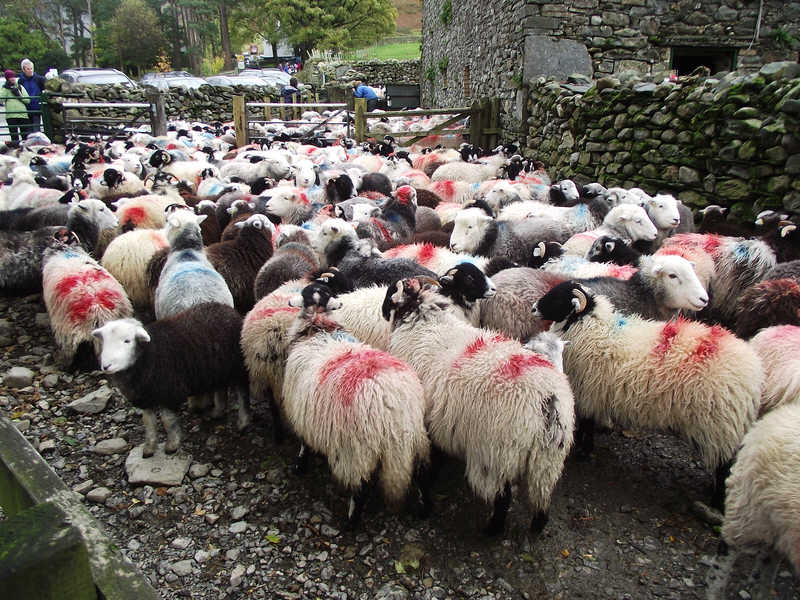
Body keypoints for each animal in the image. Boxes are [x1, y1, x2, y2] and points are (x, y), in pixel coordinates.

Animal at [92, 302, 249, 457]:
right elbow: (148, 422)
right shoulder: (144, 397)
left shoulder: (169, 392)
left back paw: (243, 421)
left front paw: (172, 445)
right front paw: (149, 447)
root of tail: (227, 309)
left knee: (242, 392)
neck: (148, 354)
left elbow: (168, 421)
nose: (106, 366)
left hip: (236, 367)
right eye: (104, 342)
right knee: (220, 388)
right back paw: (218, 412)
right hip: (217, 369)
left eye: (127, 341)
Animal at [281, 280, 431, 526]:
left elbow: (303, 442)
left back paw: (351, 522)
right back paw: (424, 508)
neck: (319, 327)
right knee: (421, 474)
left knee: (359, 487)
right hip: (416, 438)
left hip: (356, 450)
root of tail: (393, 403)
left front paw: (299, 466)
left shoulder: (300, 409)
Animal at [382, 276, 575, 535]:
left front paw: (425, 503)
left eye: (390, 294)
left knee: (502, 497)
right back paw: (537, 526)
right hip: (549, 459)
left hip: (496, 454)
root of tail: (548, 399)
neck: (422, 318)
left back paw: (492, 529)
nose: (383, 312)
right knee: (542, 496)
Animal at [531, 280, 763, 508]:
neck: (591, 327)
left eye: (557, 298)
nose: (533, 308)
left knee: (724, 466)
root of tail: (754, 370)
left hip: (721, 424)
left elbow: (587, 424)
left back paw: (715, 502)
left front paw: (583, 451)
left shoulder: (588, 391)